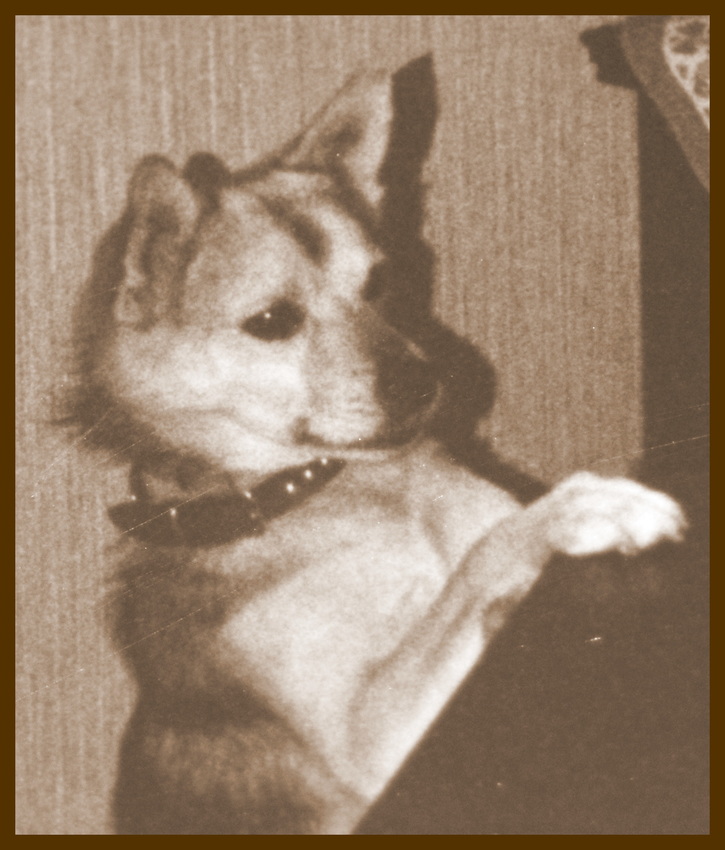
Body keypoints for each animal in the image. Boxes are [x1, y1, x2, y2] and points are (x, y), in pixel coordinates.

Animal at [77, 65, 686, 834]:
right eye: (272, 321)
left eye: (378, 281)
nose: (422, 381)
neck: (349, 489)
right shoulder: (373, 733)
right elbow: (480, 562)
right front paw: (577, 509)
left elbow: (480, 548)